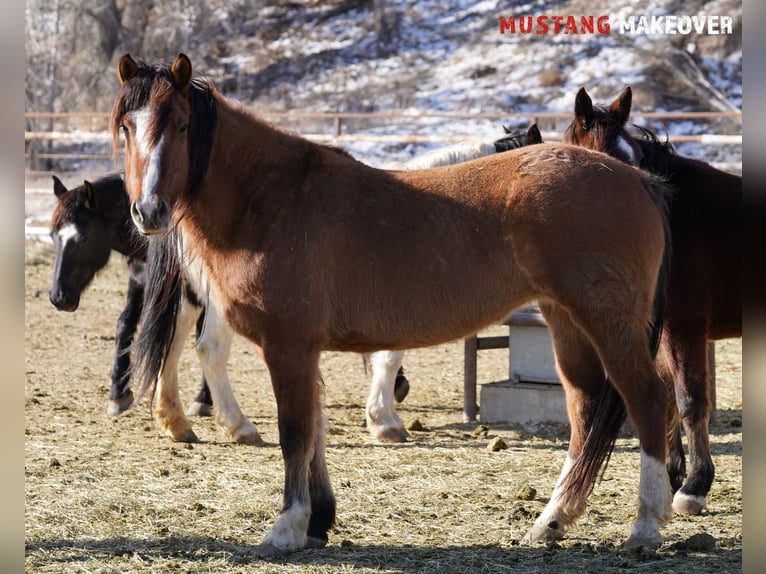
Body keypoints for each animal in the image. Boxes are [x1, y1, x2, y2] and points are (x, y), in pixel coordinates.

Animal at [49, 171, 264, 446]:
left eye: (83, 238)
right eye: (53, 236)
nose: (58, 297)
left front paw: (203, 400)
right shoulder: (141, 277)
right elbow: (125, 325)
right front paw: (118, 394)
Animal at [112, 54, 672, 560]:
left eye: (182, 125)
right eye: (126, 126)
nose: (148, 212)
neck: (272, 199)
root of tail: (635, 180)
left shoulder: (289, 346)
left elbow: (296, 431)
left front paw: (288, 527)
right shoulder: (305, 350)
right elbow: (315, 429)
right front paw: (319, 519)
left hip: (609, 324)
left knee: (647, 399)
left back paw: (646, 525)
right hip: (567, 323)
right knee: (583, 410)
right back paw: (552, 520)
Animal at [564, 86, 744, 516]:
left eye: (634, 162)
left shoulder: (684, 328)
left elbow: (690, 400)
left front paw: (695, 486)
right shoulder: (660, 333)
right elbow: (667, 402)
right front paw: (672, 474)